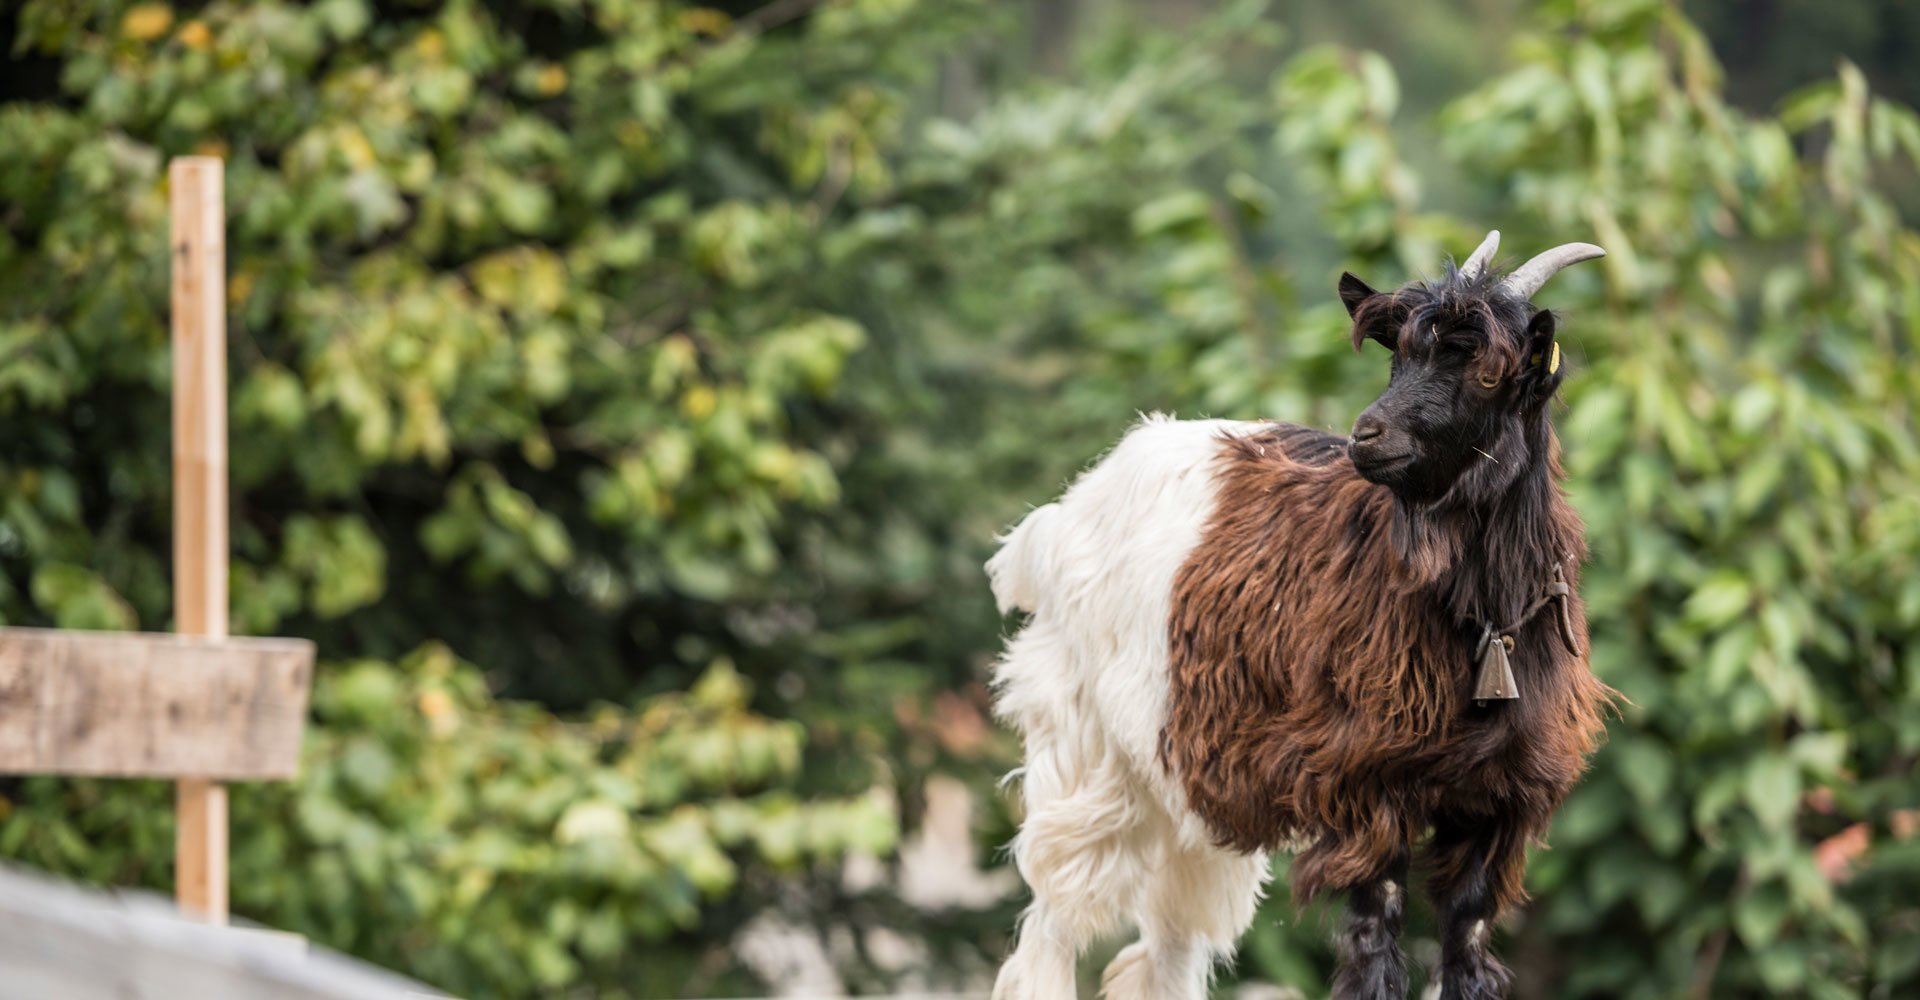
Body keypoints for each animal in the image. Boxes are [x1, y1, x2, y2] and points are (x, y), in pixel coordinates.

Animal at [983, 234, 1612, 998]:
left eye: (1489, 374)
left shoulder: (1498, 805)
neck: (1485, 622)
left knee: (1170, 943)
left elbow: (1466, 944)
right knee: (1054, 924)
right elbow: (1375, 943)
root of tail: (1059, 517)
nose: (1368, 435)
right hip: (1087, 752)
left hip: (1193, 773)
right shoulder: (1365, 782)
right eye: (1400, 354)